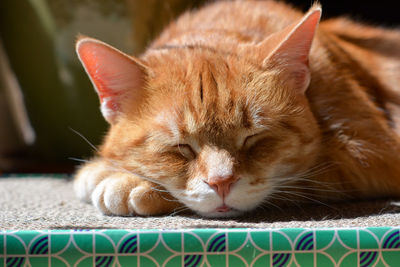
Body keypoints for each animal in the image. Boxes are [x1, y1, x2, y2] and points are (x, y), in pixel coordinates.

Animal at [73, 0, 400, 218]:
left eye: (254, 139)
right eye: (180, 147)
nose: (221, 183)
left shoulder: (369, 154)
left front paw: (130, 184)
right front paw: (102, 168)